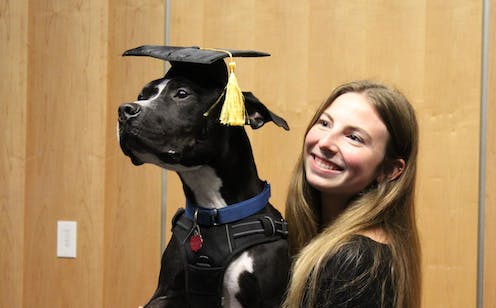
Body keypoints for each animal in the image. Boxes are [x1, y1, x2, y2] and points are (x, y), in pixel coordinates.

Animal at [117, 46, 290, 308]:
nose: (124, 110)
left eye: (182, 93)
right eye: (142, 94)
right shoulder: (165, 293)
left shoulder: (269, 298)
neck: (214, 209)